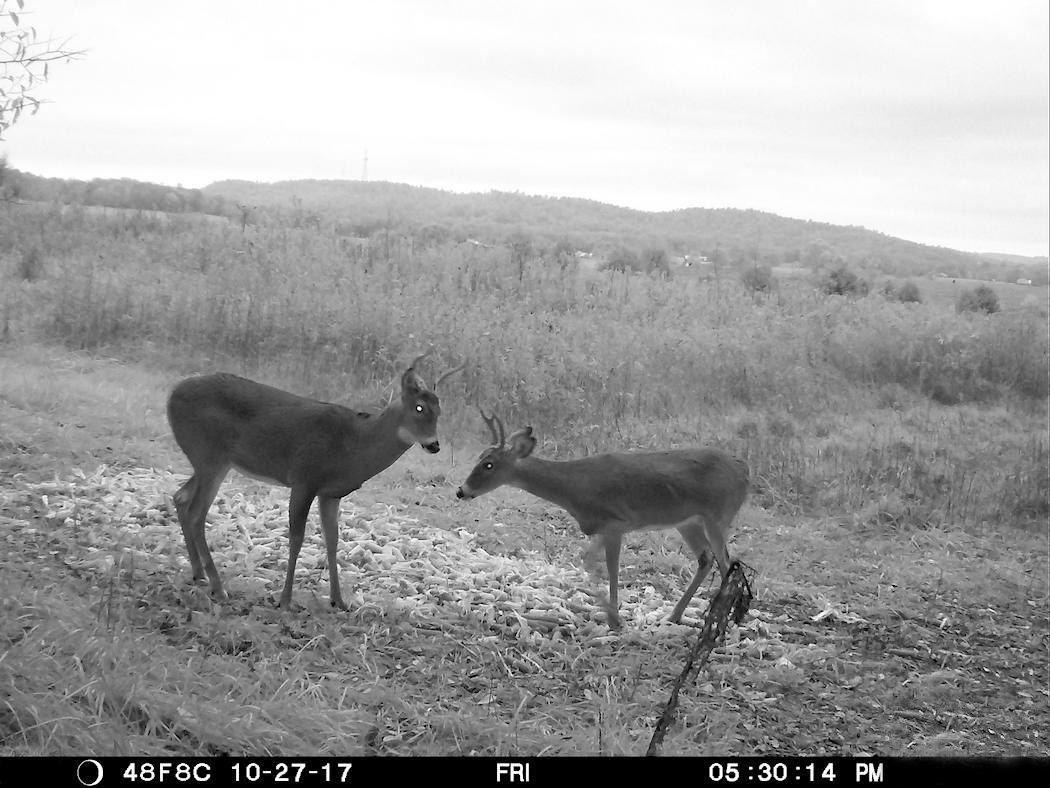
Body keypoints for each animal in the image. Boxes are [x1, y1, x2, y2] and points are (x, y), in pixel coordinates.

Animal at [168, 355, 464, 613]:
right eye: (419, 407)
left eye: (440, 410)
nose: (434, 445)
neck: (354, 445)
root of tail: (172, 393)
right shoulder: (304, 479)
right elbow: (297, 538)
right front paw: (285, 600)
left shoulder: (330, 493)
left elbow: (332, 540)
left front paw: (339, 600)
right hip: (209, 455)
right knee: (196, 513)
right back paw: (218, 587)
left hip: (211, 461)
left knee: (180, 498)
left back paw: (198, 574)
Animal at [455, 413, 751, 630]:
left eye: (489, 464)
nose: (461, 491)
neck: (575, 486)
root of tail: (744, 470)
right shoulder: (598, 527)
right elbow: (589, 563)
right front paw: (604, 612)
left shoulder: (616, 522)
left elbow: (611, 569)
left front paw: (614, 619)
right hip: (687, 521)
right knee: (706, 559)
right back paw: (674, 616)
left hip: (718, 514)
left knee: (728, 563)